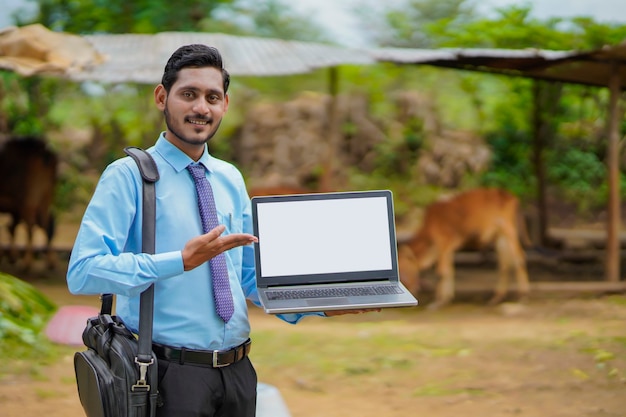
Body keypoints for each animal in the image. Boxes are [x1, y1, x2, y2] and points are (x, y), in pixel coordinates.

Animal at [394, 187, 528, 308]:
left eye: (404, 268)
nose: (412, 288)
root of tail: (511, 197)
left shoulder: (443, 243)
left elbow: (442, 272)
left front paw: (438, 301)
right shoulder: (448, 249)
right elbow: (449, 271)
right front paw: (447, 298)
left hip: (508, 230)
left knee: (519, 258)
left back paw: (522, 295)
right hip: (500, 236)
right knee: (504, 264)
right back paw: (497, 297)